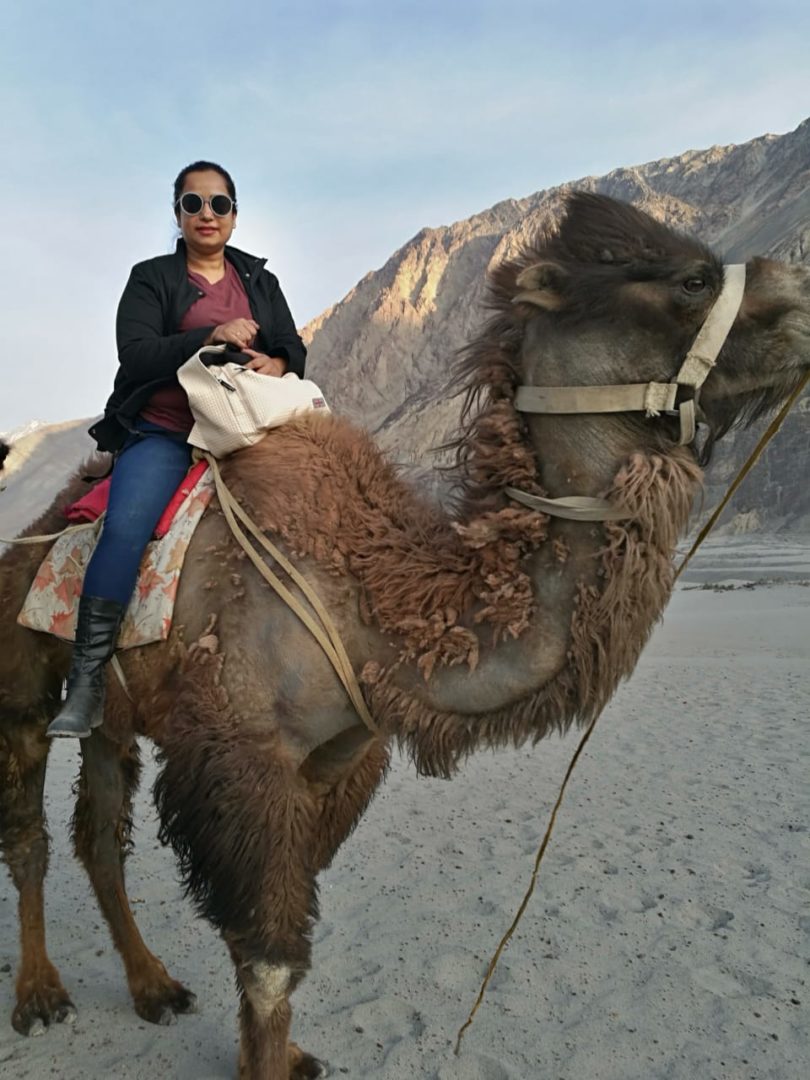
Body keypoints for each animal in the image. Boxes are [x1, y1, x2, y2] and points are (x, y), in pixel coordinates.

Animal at [0, 190, 807, 1075]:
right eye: (694, 279)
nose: (804, 299)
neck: (374, 603)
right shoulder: (245, 758)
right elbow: (270, 961)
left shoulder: (341, 762)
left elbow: (275, 942)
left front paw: (282, 1056)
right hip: (22, 682)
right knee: (32, 835)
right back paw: (40, 997)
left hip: (118, 720)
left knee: (100, 840)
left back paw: (153, 987)